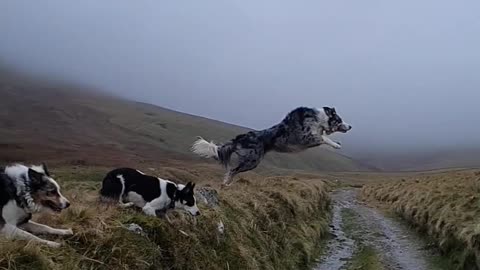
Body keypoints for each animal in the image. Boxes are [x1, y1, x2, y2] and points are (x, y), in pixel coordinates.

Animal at [191, 106, 352, 186]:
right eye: (339, 119)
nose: (350, 126)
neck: (320, 119)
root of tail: (240, 138)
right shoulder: (305, 137)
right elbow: (323, 137)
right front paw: (336, 145)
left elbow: (323, 136)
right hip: (252, 161)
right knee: (232, 170)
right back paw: (226, 183)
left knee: (233, 170)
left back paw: (227, 184)